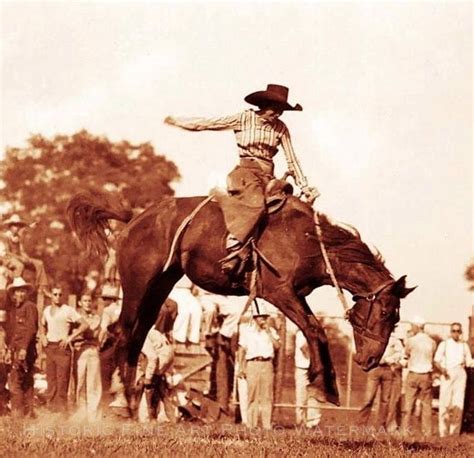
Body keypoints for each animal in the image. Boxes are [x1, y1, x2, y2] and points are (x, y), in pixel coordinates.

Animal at [66, 188, 414, 410]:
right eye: (386, 313)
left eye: (396, 317)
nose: (370, 360)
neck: (308, 242)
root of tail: (134, 221)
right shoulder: (279, 291)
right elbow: (314, 328)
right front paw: (323, 387)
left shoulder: (294, 294)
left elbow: (314, 329)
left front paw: (325, 385)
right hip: (138, 284)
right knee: (123, 333)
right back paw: (119, 402)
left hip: (160, 286)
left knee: (137, 335)